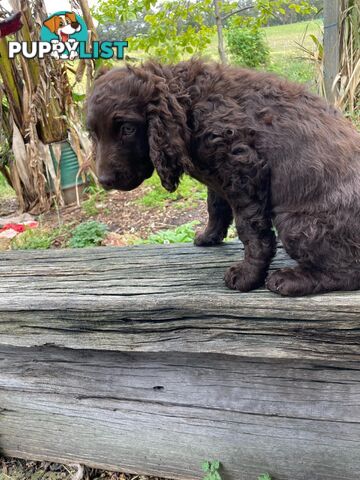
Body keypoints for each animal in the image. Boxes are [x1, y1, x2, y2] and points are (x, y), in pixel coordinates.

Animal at [86, 60, 360, 296]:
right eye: (93, 134)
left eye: (128, 129)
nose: (104, 181)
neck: (188, 105)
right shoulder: (219, 175)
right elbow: (215, 206)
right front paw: (209, 237)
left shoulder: (243, 169)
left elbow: (251, 231)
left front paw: (247, 276)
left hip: (295, 223)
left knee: (348, 270)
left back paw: (291, 279)